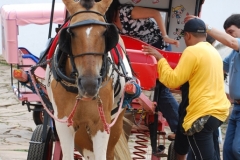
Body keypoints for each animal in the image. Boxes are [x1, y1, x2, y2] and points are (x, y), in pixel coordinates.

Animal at [44, 0, 133, 159]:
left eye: (105, 33)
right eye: (71, 33)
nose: (89, 84)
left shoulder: (101, 124)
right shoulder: (64, 122)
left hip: (115, 123)